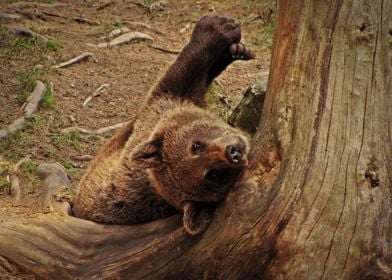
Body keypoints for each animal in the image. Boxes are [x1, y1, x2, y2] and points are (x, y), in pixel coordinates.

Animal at [72, 15, 253, 234]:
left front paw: (236, 50)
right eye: (213, 175)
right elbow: (182, 74)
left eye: (196, 145)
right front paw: (219, 27)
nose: (233, 151)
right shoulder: (160, 107)